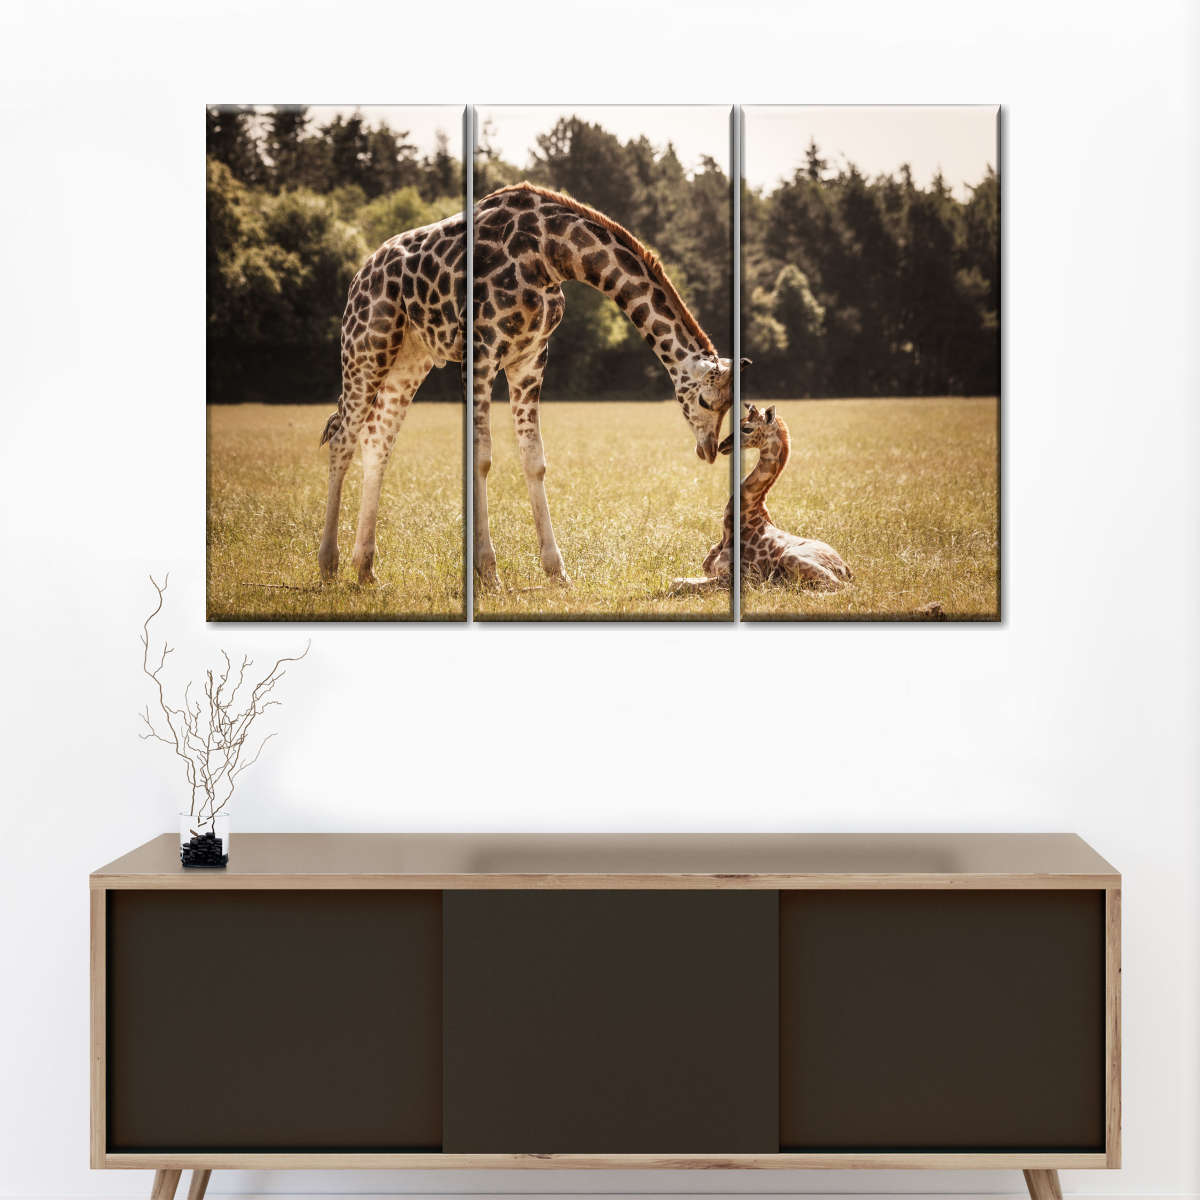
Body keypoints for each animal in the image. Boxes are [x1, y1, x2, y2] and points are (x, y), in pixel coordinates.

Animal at [471, 183, 743, 589]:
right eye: (708, 402)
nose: (710, 449)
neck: (554, 247)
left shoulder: (529, 356)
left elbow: (531, 458)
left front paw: (553, 571)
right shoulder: (484, 352)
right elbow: (483, 457)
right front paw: (488, 572)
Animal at [671, 403, 851, 594]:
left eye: (747, 428)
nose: (722, 446)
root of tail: (847, 569)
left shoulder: (740, 578)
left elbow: (677, 583)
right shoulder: (710, 571)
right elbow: (678, 580)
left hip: (791, 557)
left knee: (843, 587)